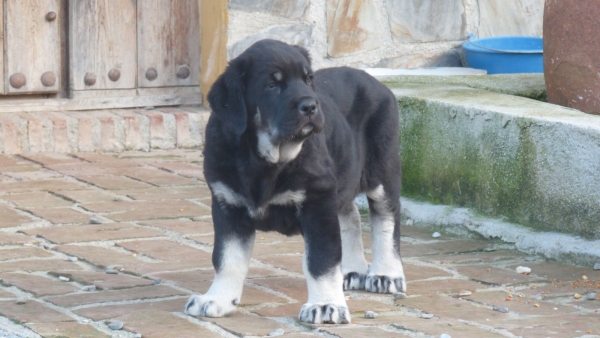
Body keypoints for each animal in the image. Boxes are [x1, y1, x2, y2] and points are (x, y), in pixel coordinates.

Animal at [185, 39, 406, 324]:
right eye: (272, 84)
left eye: (308, 79)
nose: (311, 106)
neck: (264, 159)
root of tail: (377, 83)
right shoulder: (228, 204)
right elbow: (226, 258)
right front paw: (217, 299)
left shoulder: (317, 202)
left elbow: (321, 259)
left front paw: (325, 304)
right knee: (351, 215)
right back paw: (352, 269)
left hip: (381, 171)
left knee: (387, 217)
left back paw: (386, 273)